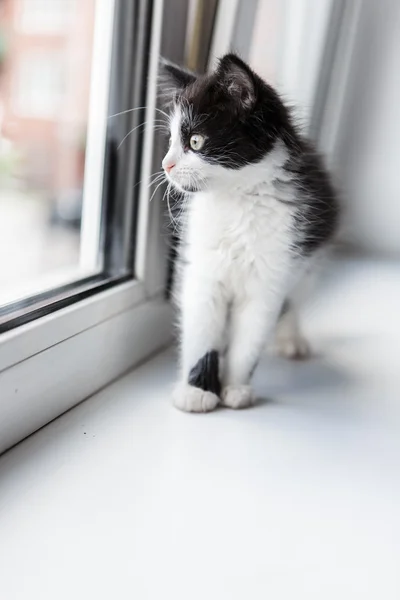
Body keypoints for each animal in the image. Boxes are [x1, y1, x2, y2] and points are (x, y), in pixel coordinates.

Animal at [159, 54, 338, 412]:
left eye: (195, 141)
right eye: (170, 141)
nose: (165, 165)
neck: (236, 199)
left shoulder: (275, 269)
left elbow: (252, 333)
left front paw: (236, 387)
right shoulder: (203, 269)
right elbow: (202, 328)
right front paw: (196, 391)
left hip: (311, 260)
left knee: (294, 301)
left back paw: (291, 339)